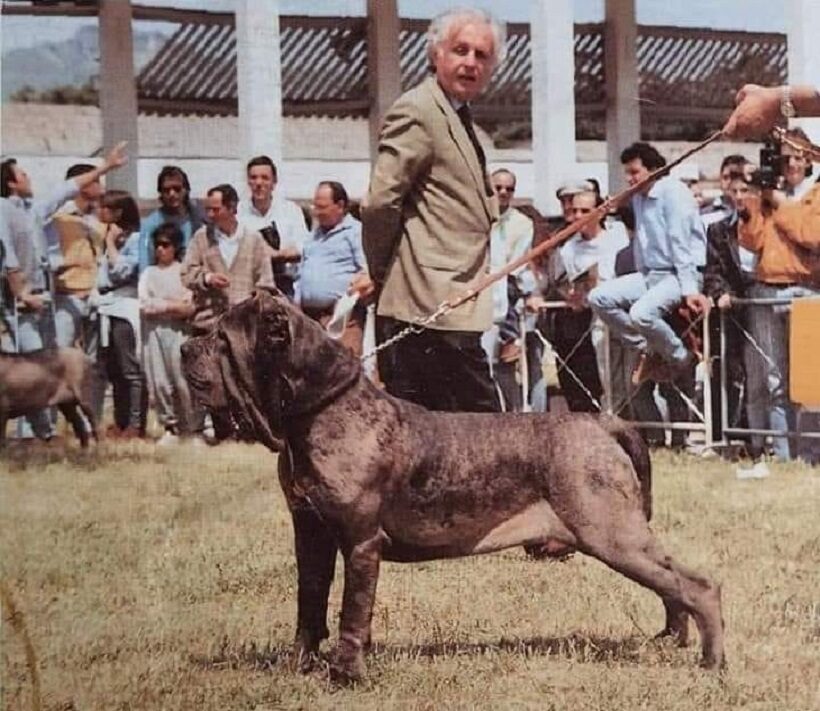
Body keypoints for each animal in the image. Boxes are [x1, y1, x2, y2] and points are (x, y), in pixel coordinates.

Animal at [181, 290, 724, 684]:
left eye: (222, 339)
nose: (185, 347)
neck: (319, 408)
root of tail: (601, 421)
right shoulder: (310, 532)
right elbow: (309, 603)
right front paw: (300, 665)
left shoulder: (360, 540)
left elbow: (353, 610)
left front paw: (347, 675)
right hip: (621, 536)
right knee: (671, 584)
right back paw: (671, 638)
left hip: (612, 533)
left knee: (698, 585)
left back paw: (711, 661)